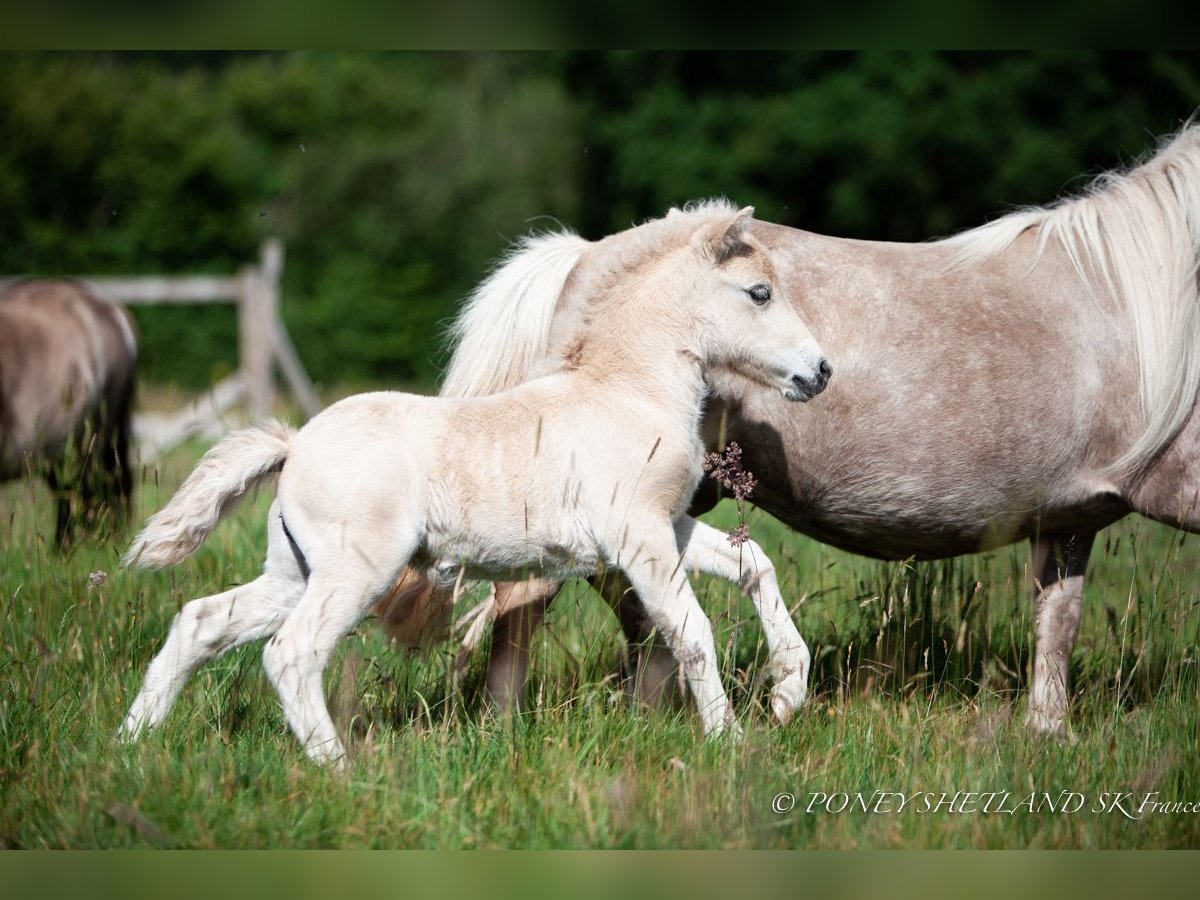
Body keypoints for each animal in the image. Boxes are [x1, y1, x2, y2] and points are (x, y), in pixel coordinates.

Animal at [124, 206, 835, 768]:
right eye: (759, 293)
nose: (821, 372)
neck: (627, 391)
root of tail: (294, 445)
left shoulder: (669, 525)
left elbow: (752, 563)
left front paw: (787, 693)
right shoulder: (638, 539)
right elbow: (692, 632)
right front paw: (732, 741)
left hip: (293, 571)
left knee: (200, 622)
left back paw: (131, 743)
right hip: (356, 571)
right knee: (290, 653)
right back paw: (339, 770)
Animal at [381, 121, 1200, 739]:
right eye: (759, 293)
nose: (821, 370)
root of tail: (581, 253)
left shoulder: (1069, 518)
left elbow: (1056, 625)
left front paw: (1048, 735)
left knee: (635, 619)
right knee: (531, 611)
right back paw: (511, 732)